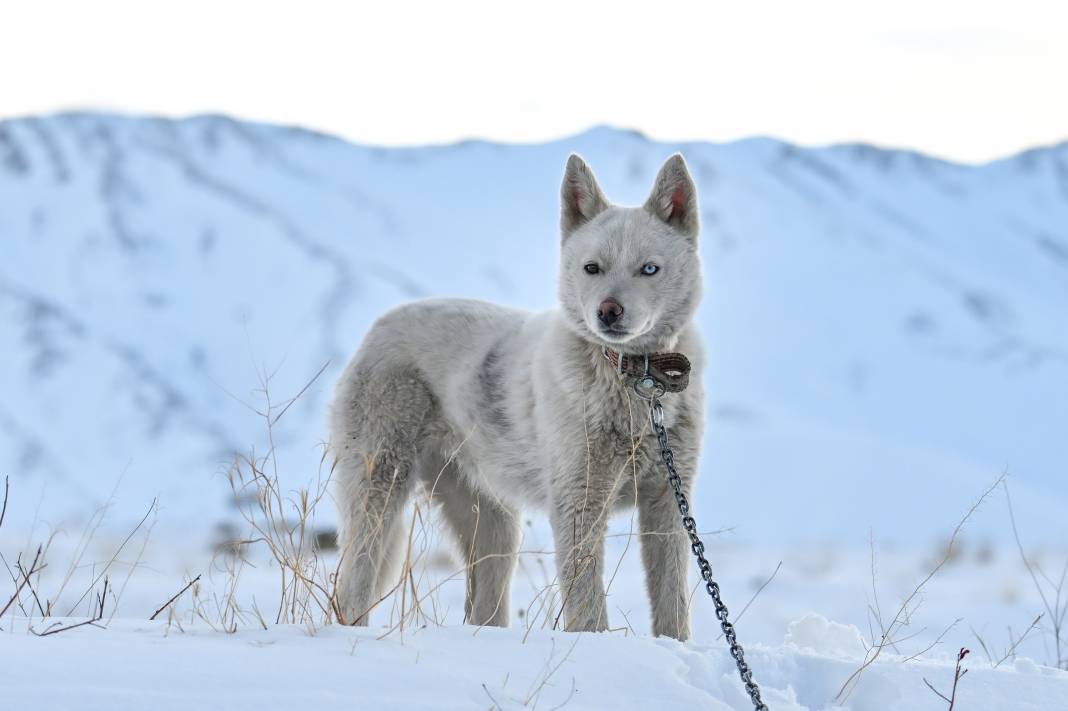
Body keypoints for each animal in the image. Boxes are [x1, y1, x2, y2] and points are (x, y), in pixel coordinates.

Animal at [328, 153, 704, 636]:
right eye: (592, 268)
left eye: (649, 269)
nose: (608, 311)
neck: (634, 379)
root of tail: (379, 326)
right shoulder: (579, 505)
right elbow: (588, 606)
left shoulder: (667, 503)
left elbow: (672, 604)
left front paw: (676, 647)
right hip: (380, 494)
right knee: (354, 586)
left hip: (493, 529)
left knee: (485, 606)